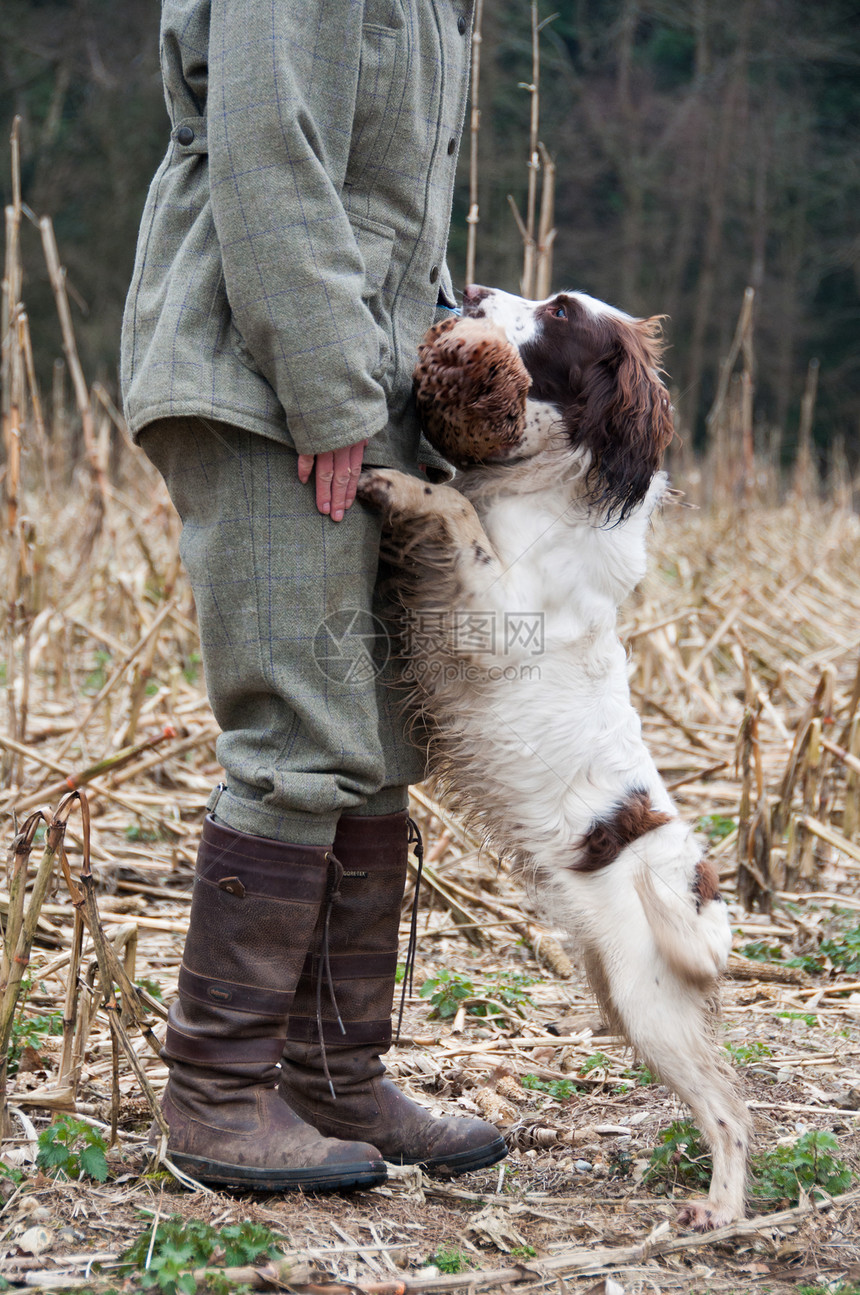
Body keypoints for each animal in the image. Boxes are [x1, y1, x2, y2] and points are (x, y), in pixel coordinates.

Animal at [354, 288, 746, 1227]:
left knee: (730, 1106)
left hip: (648, 1000)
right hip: (619, 991)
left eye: (561, 311)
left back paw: (720, 1208)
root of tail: (691, 875)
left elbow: (455, 514)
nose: (472, 292)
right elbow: (456, 506)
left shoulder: (496, 616)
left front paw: (400, 483)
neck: (539, 488)